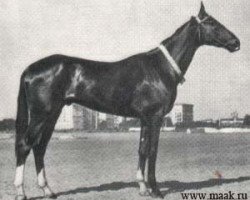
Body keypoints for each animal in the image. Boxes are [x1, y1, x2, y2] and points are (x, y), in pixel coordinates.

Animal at [14, 3, 240, 200]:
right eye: (212, 22)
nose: (236, 42)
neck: (160, 67)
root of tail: (29, 70)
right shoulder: (155, 117)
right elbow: (152, 151)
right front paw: (156, 190)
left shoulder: (144, 118)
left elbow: (142, 149)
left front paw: (142, 187)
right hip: (41, 114)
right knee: (26, 145)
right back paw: (20, 192)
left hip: (53, 114)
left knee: (40, 147)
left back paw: (48, 190)